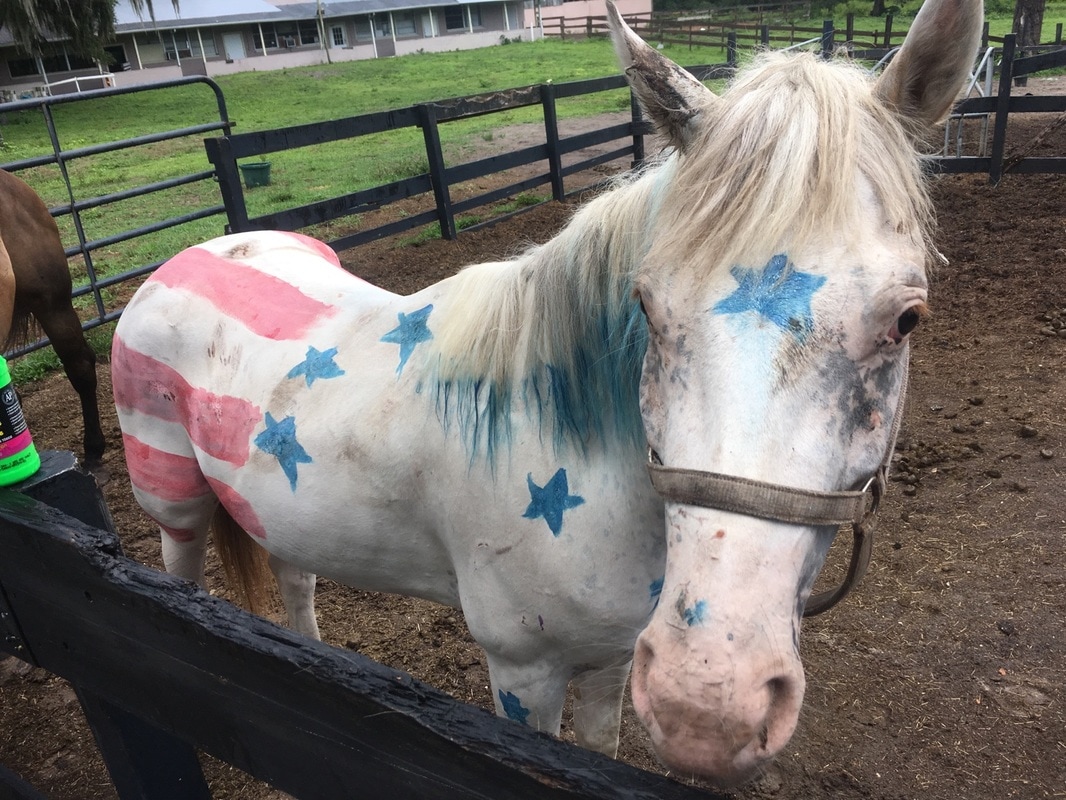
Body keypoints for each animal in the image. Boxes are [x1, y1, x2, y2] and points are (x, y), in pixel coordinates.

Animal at [114, 0, 980, 789]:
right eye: (645, 305)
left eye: (907, 319)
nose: (709, 706)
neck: (573, 455)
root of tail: (182, 262)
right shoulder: (523, 668)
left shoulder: (611, 654)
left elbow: (600, 745)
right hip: (174, 503)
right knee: (177, 581)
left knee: (295, 577)